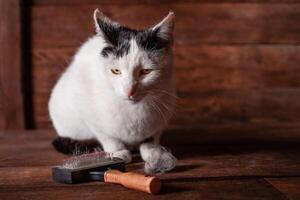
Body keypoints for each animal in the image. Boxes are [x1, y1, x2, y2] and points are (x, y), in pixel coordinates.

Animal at [48, 9, 177, 174]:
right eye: (116, 71)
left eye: (146, 71)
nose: (129, 90)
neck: (133, 111)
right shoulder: (88, 112)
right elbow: (107, 136)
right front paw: (118, 153)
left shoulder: (163, 112)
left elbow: (151, 138)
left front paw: (155, 154)